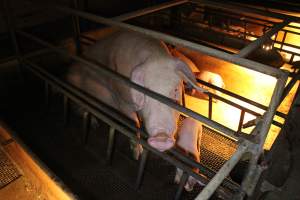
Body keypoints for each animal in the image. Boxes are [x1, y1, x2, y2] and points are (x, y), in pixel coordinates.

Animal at [67, 30, 204, 158]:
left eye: (175, 90)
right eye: (145, 90)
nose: (161, 137)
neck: (155, 56)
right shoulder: (121, 99)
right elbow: (134, 123)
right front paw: (137, 155)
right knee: (79, 109)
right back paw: (95, 124)